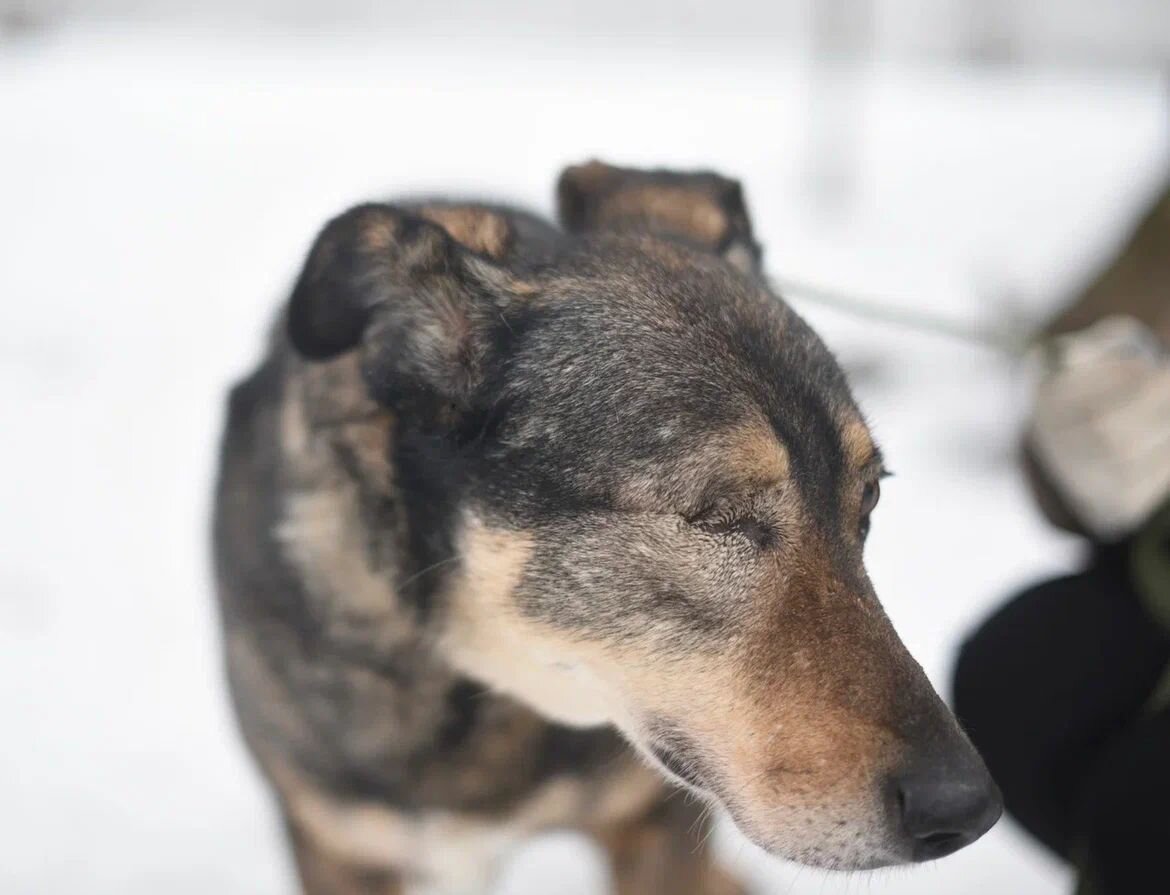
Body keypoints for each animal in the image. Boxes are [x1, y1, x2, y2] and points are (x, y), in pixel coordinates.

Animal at [215, 162, 1001, 893]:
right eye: (718, 515)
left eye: (867, 499)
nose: (968, 808)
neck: (491, 682)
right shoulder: (339, 846)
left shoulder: (656, 822)